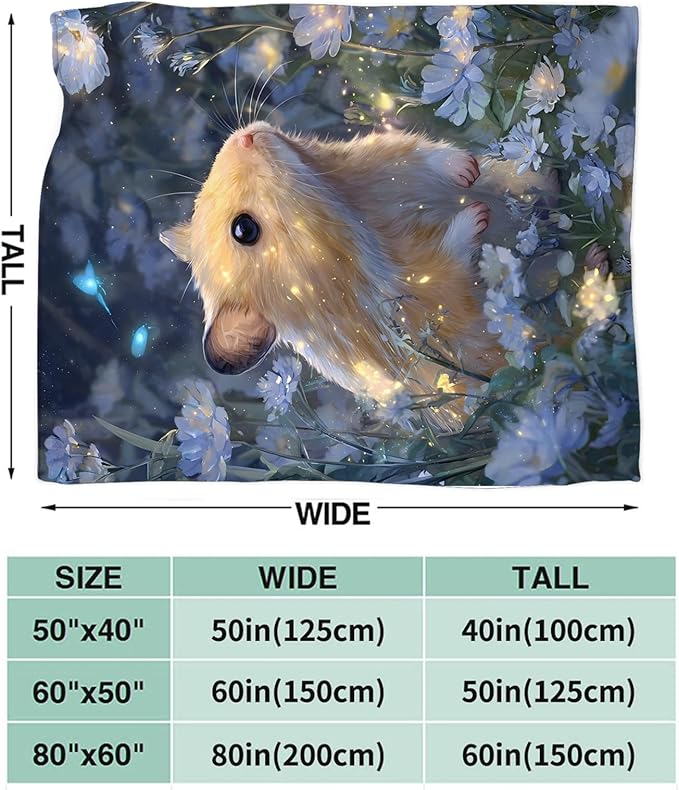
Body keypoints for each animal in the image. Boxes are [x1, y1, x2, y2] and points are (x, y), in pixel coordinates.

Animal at [161, 121, 551, 427]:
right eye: (244, 229)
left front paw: (467, 171)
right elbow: (451, 256)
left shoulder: (374, 160)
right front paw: (478, 214)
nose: (246, 135)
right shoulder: (431, 298)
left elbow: (417, 152)